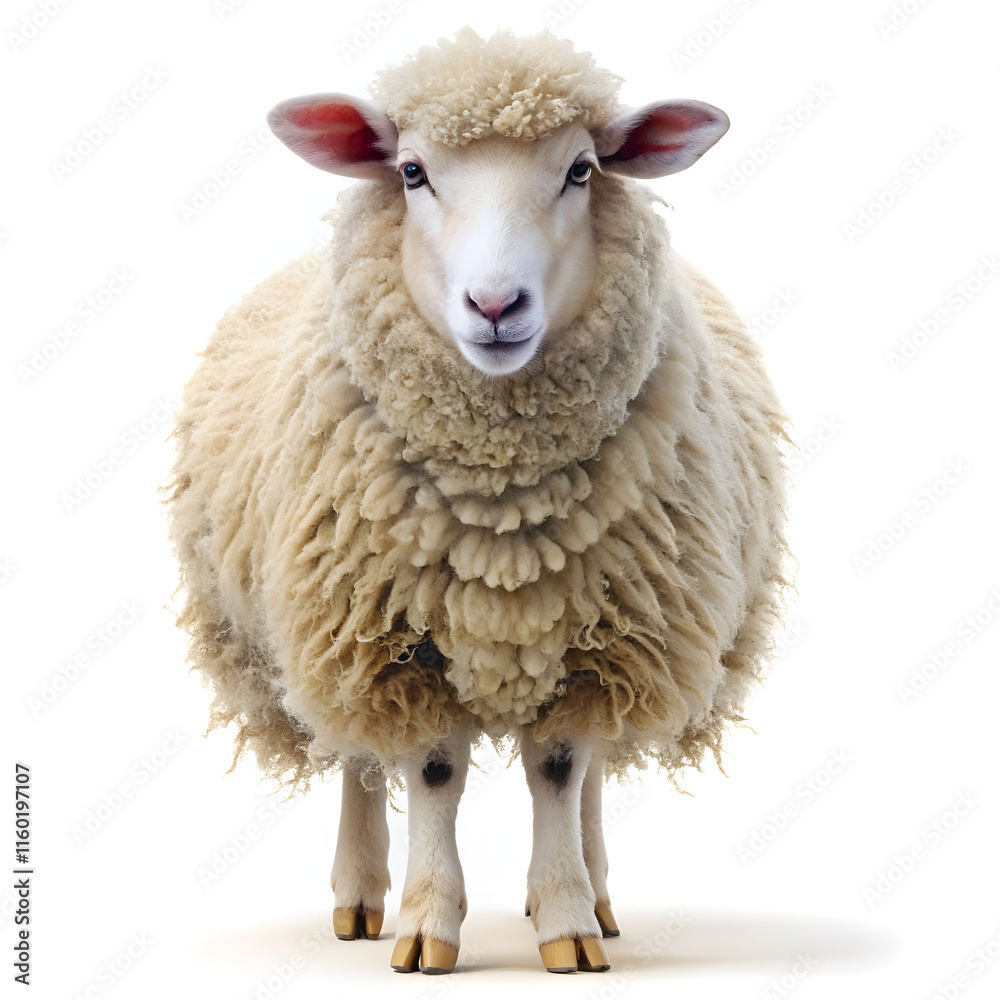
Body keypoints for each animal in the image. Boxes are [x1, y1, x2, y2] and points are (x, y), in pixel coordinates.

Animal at [166, 26, 790, 976]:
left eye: (581, 170)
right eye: (413, 171)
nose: (496, 305)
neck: (502, 505)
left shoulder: (600, 634)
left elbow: (562, 767)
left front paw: (567, 919)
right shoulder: (388, 636)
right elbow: (428, 769)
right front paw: (427, 926)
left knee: (589, 771)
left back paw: (599, 895)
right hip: (323, 630)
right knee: (358, 756)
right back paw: (359, 898)